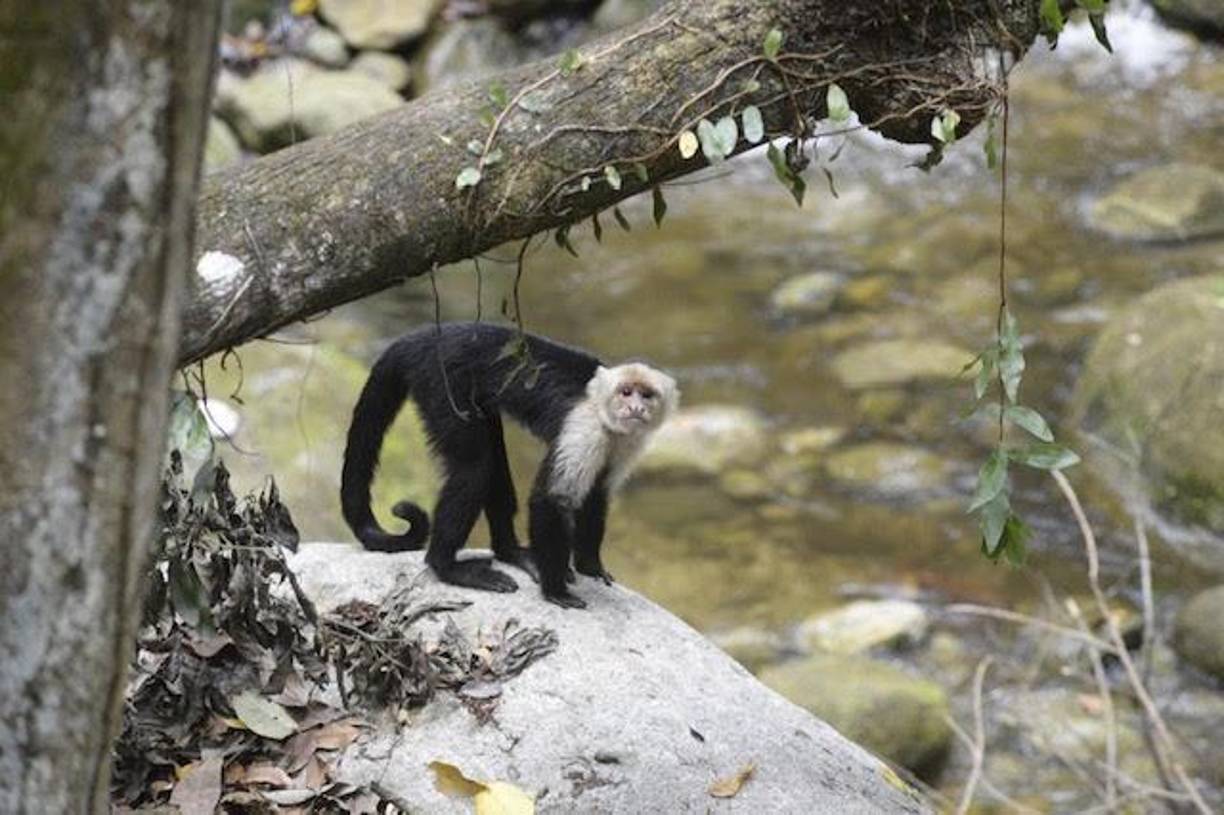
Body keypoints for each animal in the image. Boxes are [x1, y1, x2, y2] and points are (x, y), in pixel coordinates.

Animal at [340, 322, 677, 608]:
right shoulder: (586, 427)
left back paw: (511, 552)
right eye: (625, 392)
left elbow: (596, 496)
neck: (608, 420)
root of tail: (423, 336)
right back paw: (446, 566)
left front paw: (590, 566)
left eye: (647, 395)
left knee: (493, 458)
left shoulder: (629, 443)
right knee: (474, 467)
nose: (635, 408)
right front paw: (555, 590)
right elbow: (550, 499)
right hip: (442, 383)